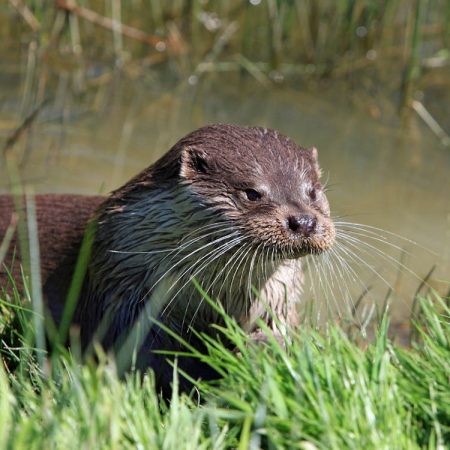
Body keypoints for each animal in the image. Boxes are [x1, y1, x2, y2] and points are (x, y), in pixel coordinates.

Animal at [0, 125, 334, 392]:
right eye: (252, 193)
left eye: (312, 192)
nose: (304, 221)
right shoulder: (123, 296)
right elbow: (150, 358)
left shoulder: (278, 299)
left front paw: (265, 349)